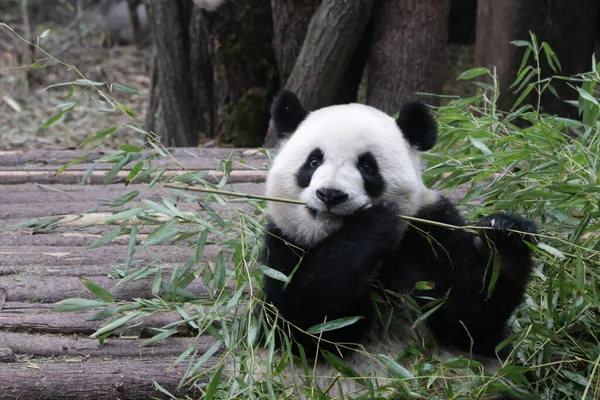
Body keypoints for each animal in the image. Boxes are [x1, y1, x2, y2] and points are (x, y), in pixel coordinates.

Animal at [256, 90, 536, 396]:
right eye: (314, 161)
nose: (331, 194)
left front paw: (504, 245)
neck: (331, 235)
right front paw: (372, 225)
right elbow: (302, 325)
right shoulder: (285, 242)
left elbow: (468, 319)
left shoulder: (429, 231)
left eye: (367, 166)